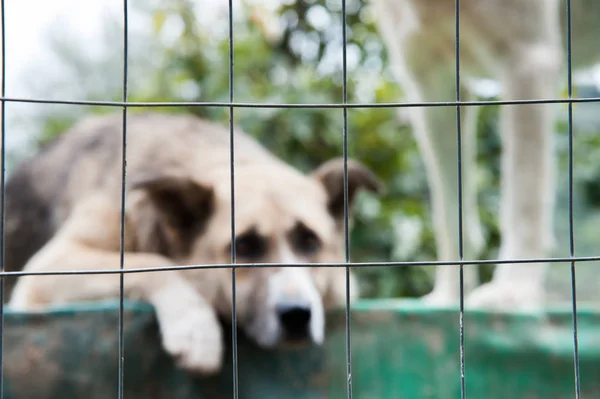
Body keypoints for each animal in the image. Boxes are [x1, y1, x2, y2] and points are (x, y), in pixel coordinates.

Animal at [3, 111, 380, 376]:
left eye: (309, 241)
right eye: (244, 246)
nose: (297, 315)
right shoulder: (48, 268)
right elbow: (150, 261)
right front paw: (196, 330)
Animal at [370, 0, 600, 310]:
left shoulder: (527, 61)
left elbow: (523, 203)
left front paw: (513, 290)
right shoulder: (431, 84)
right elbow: (449, 214)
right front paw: (449, 296)